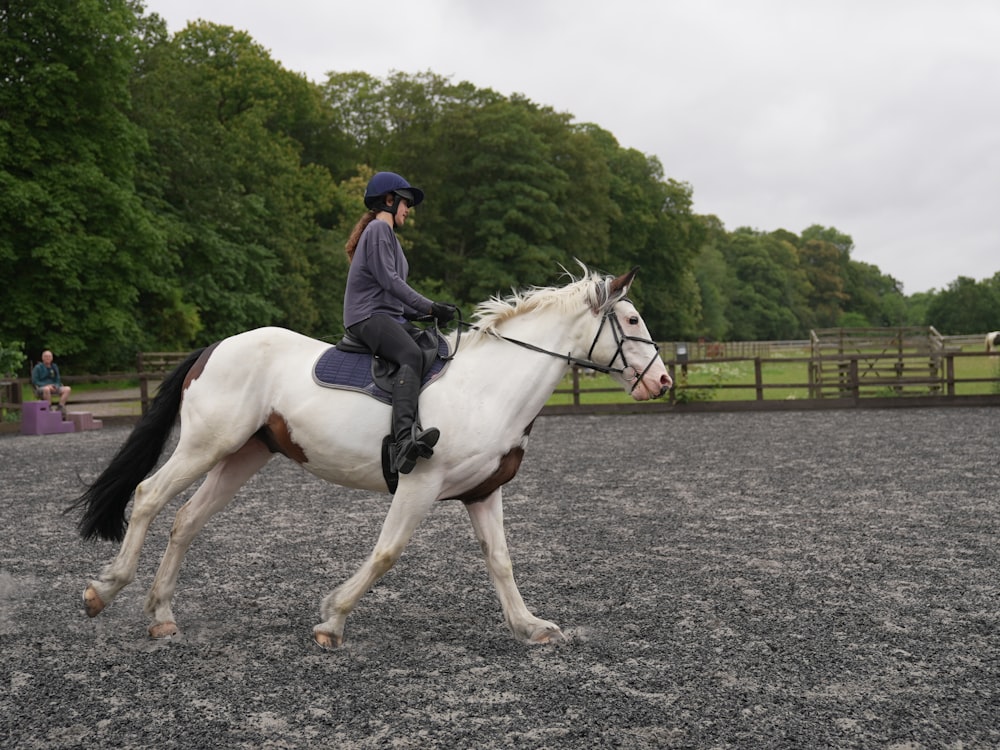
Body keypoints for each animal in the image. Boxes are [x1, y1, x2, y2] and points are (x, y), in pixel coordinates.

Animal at [70, 268, 672, 648]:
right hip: (206, 444)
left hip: (243, 455)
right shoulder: (419, 485)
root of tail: (215, 347)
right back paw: (104, 590)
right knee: (149, 496)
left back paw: (161, 616)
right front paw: (332, 619)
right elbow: (387, 553)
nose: (663, 381)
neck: (489, 388)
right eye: (633, 321)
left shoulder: (483, 492)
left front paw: (530, 627)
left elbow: (500, 561)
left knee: (187, 520)